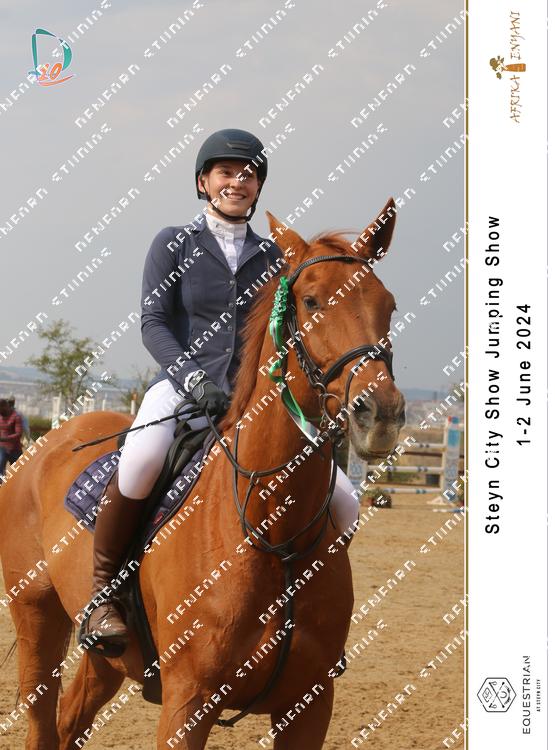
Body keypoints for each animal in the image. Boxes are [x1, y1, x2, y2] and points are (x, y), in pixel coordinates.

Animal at [0, 200, 405, 750]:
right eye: (311, 300)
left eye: (389, 305)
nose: (379, 414)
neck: (272, 532)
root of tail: (52, 439)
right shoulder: (187, 702)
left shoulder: (310, 705)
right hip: (36, 615)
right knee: (43, 717)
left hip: (106, 660)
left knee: (71, 719)